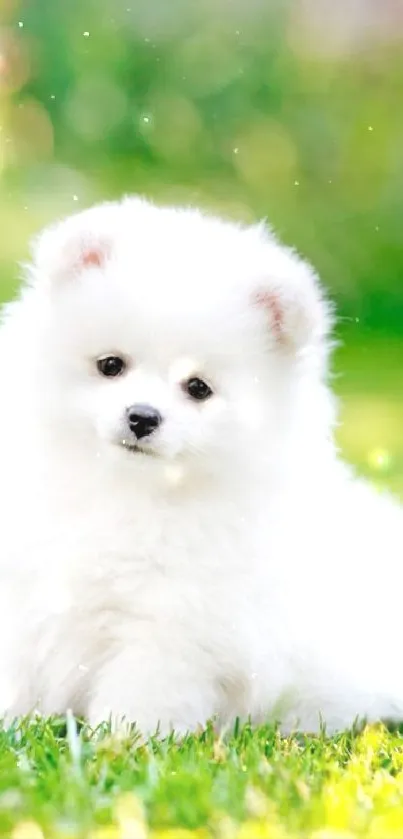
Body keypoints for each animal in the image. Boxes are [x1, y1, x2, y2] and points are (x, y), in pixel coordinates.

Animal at [0, 197, 400, 736]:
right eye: (111, 365)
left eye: (198, 388)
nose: (142, 416)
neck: (126, 492)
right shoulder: (24, 590)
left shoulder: (175, 626)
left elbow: (143, 691)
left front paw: (124, 741)